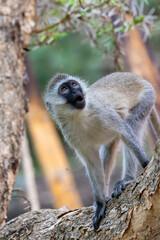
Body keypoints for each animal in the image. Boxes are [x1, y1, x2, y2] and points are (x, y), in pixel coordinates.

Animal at [44, 71, 160, 231]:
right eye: (64, 89)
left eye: (74, 84)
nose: (75, 91)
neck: (80, 116)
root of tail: (140, 79)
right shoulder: (70, 135)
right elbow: (92, 163)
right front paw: (100, 204)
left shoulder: (103, 113)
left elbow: (124, 130)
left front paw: (145, 164)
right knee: (108, 149)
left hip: (146, 98)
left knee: (131, 123)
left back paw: (128, 178)